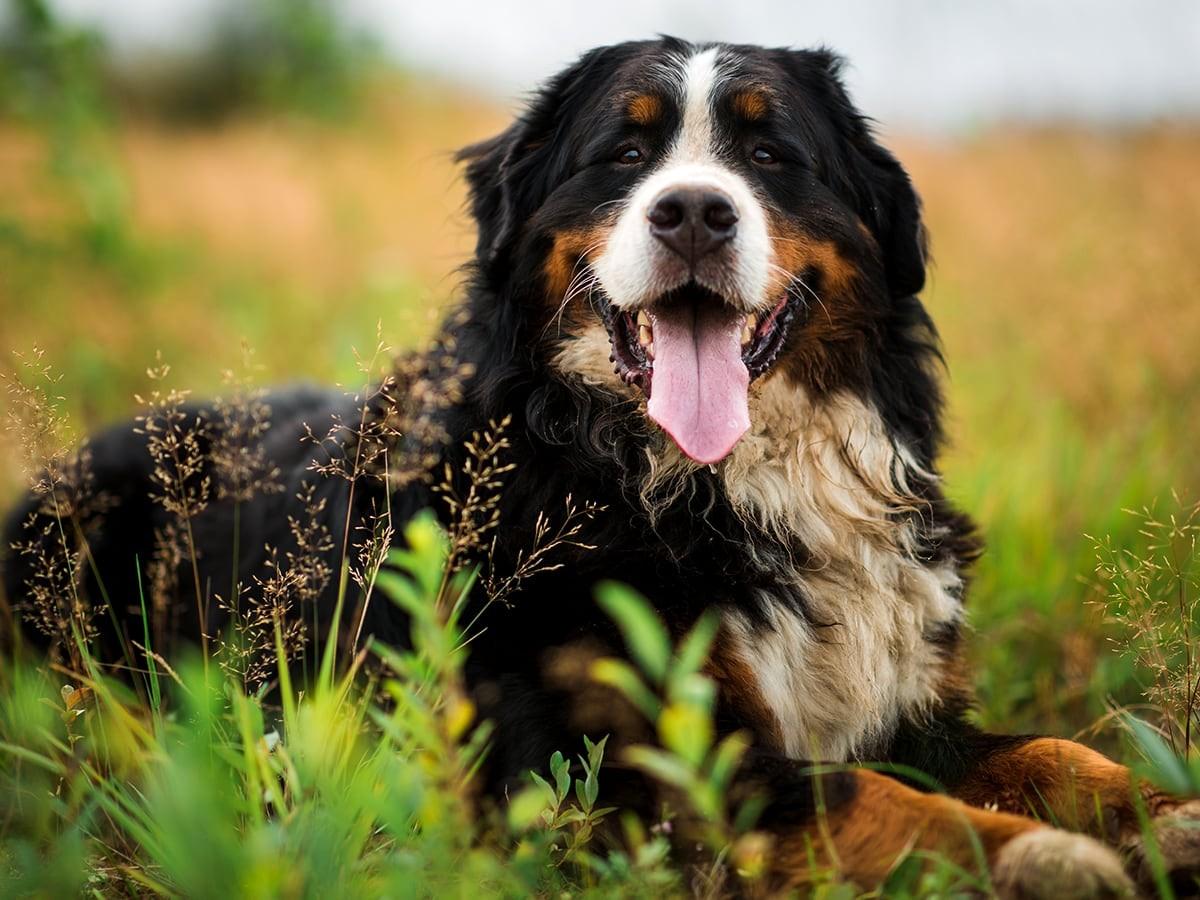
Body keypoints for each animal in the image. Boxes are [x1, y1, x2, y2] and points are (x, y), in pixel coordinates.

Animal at [2, 33, 1200, 897]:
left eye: (771, 154)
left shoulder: (910, 704)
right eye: (624, 154)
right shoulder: (620, 769)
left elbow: (1048, 750)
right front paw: (1044, 858)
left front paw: (1162, 815)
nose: (695, 211)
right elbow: (868, 799)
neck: (702, 487)